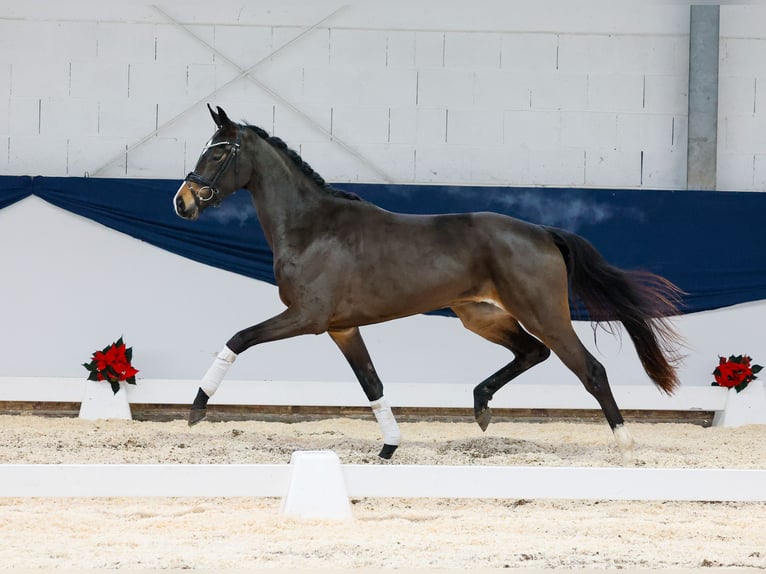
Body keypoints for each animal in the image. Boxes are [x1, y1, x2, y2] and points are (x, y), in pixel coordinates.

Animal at [174, 104, 684, 464]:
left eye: (218, 151)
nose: (183, 202)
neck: (311, 227)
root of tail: (543, 232)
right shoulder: (342, 328)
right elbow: (372, 384)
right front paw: (389, 447)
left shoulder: (307, 317)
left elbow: (238, 339)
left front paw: (197, 409)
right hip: (480, 315)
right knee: (530, 352)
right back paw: (481, 407)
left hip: (545, 314)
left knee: (590, 370)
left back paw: (626, 447)